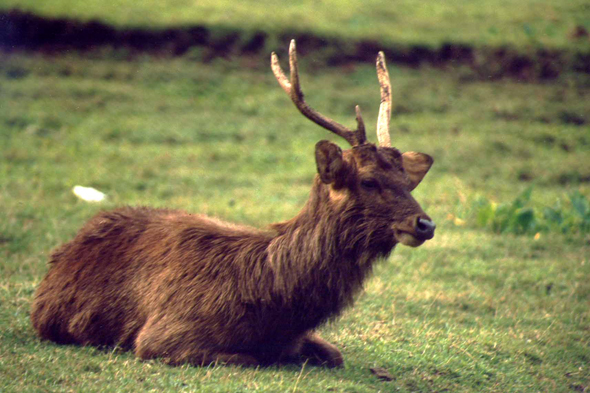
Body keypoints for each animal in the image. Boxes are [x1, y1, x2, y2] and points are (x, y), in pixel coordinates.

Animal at [33, 40, 440, 368]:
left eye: (406, 180)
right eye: (368, 180)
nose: (425, 224)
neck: (270, 304)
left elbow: (335, 354)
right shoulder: (161, 336)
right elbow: (248, 358)